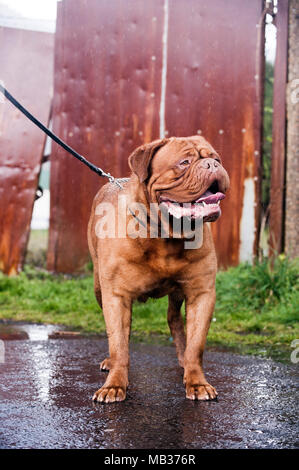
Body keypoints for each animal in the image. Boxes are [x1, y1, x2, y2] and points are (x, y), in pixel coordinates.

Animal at [88, 136, 231, 404]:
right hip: (99, 288)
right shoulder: (116, 296)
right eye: (184, 163)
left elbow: (196, 344)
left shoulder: (202, 294)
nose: (212, 165)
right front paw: (114, 385)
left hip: (178, 293)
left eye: (216, 158)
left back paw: (183, 359)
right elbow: (118, 343)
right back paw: (110, 362)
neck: (166, 235)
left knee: (174, 319)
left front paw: (196, 382)